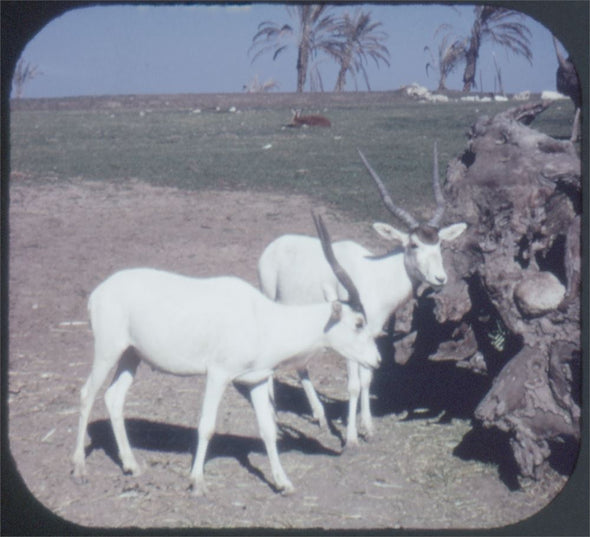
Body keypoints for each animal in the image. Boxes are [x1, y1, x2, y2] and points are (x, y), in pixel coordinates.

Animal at [73, 213, 380, 494]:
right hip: (108, 351)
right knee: (87, 393)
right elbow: (206, 425)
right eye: (358, 322)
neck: (262, 319)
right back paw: (79, 468)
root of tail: (97, 293)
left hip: (131, 355)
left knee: (114, 397)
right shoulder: (218, 374)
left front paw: (283, 483)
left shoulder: (257, 379)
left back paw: (131, 465)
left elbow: (268, 429)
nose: (377, 360)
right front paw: (197, 482)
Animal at [260, 144, 468, 446]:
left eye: (438, 243)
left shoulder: (370, 335)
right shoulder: (349, 333)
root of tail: (274, 245)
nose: (440, 278)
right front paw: (351, 437)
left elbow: (368, 378)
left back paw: (319, 417)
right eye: (413, 244)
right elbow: (354, 384)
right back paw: (275, 417)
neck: (377, 275)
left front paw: (367, 427)